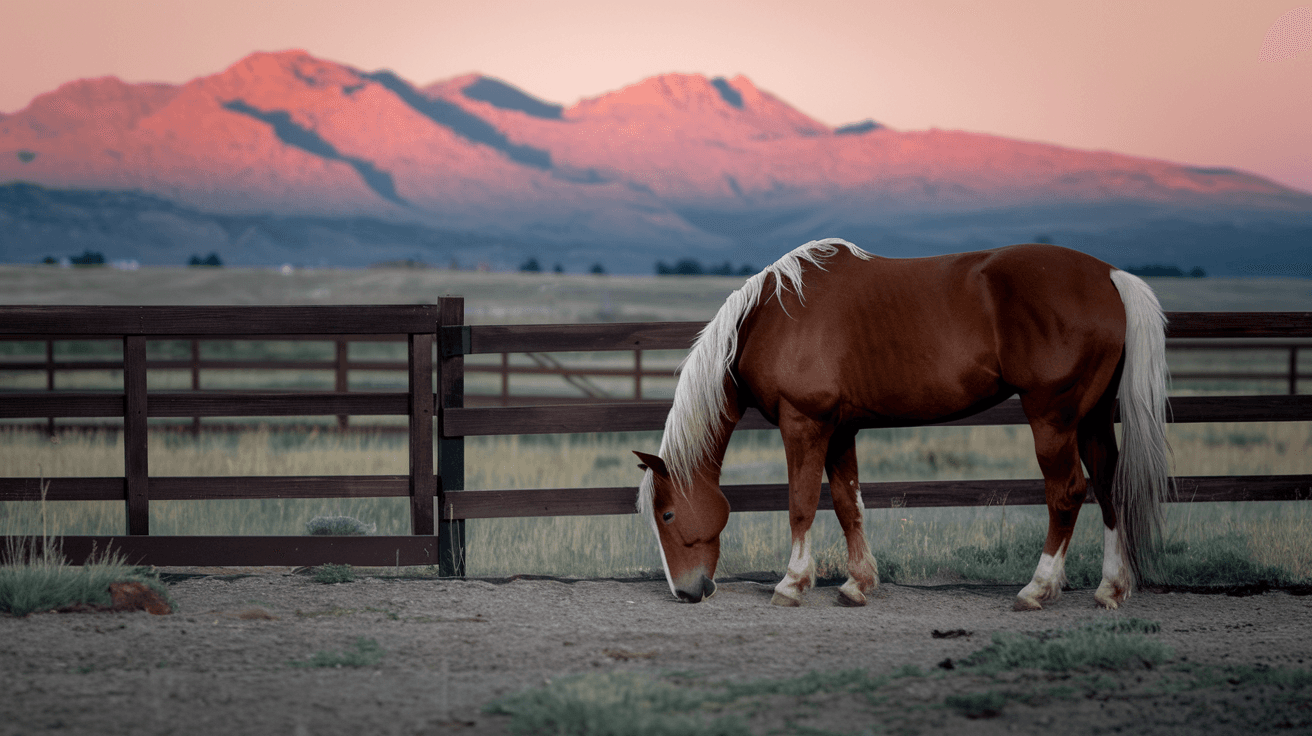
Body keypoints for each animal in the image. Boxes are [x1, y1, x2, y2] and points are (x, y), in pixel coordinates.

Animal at [634, 238, 1170, 610]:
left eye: (668, 515)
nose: (686, 592)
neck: (768, 318)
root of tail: (1109, 276)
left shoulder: (804, 424)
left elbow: (801, 504)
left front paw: (792, 583)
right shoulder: (840, 429)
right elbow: (848, 504)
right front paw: (857, 584)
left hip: (1052, 417)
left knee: (1067, 493)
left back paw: (1036, 589)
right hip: (1093, 417)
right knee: (1108, 485)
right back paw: (1110, 588)